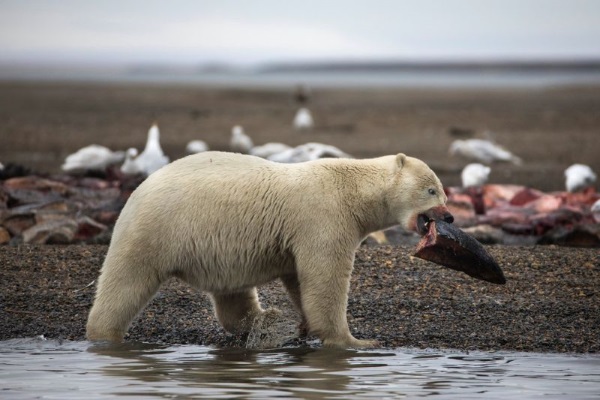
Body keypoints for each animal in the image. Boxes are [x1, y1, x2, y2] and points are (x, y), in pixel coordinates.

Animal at [83, 150, 450, 346]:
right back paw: (104, 333)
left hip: (214, 248)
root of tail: (136, 190)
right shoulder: (324, 216)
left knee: (232, 295)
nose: (449, 215)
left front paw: (304, 325)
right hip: (157, 229)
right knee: (126, 281)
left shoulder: (300, 235)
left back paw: (262, 320)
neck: (354, 190)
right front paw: (355, 341)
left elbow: (300, 279)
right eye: (432, 189)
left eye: (442, 190)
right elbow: (325, 278)